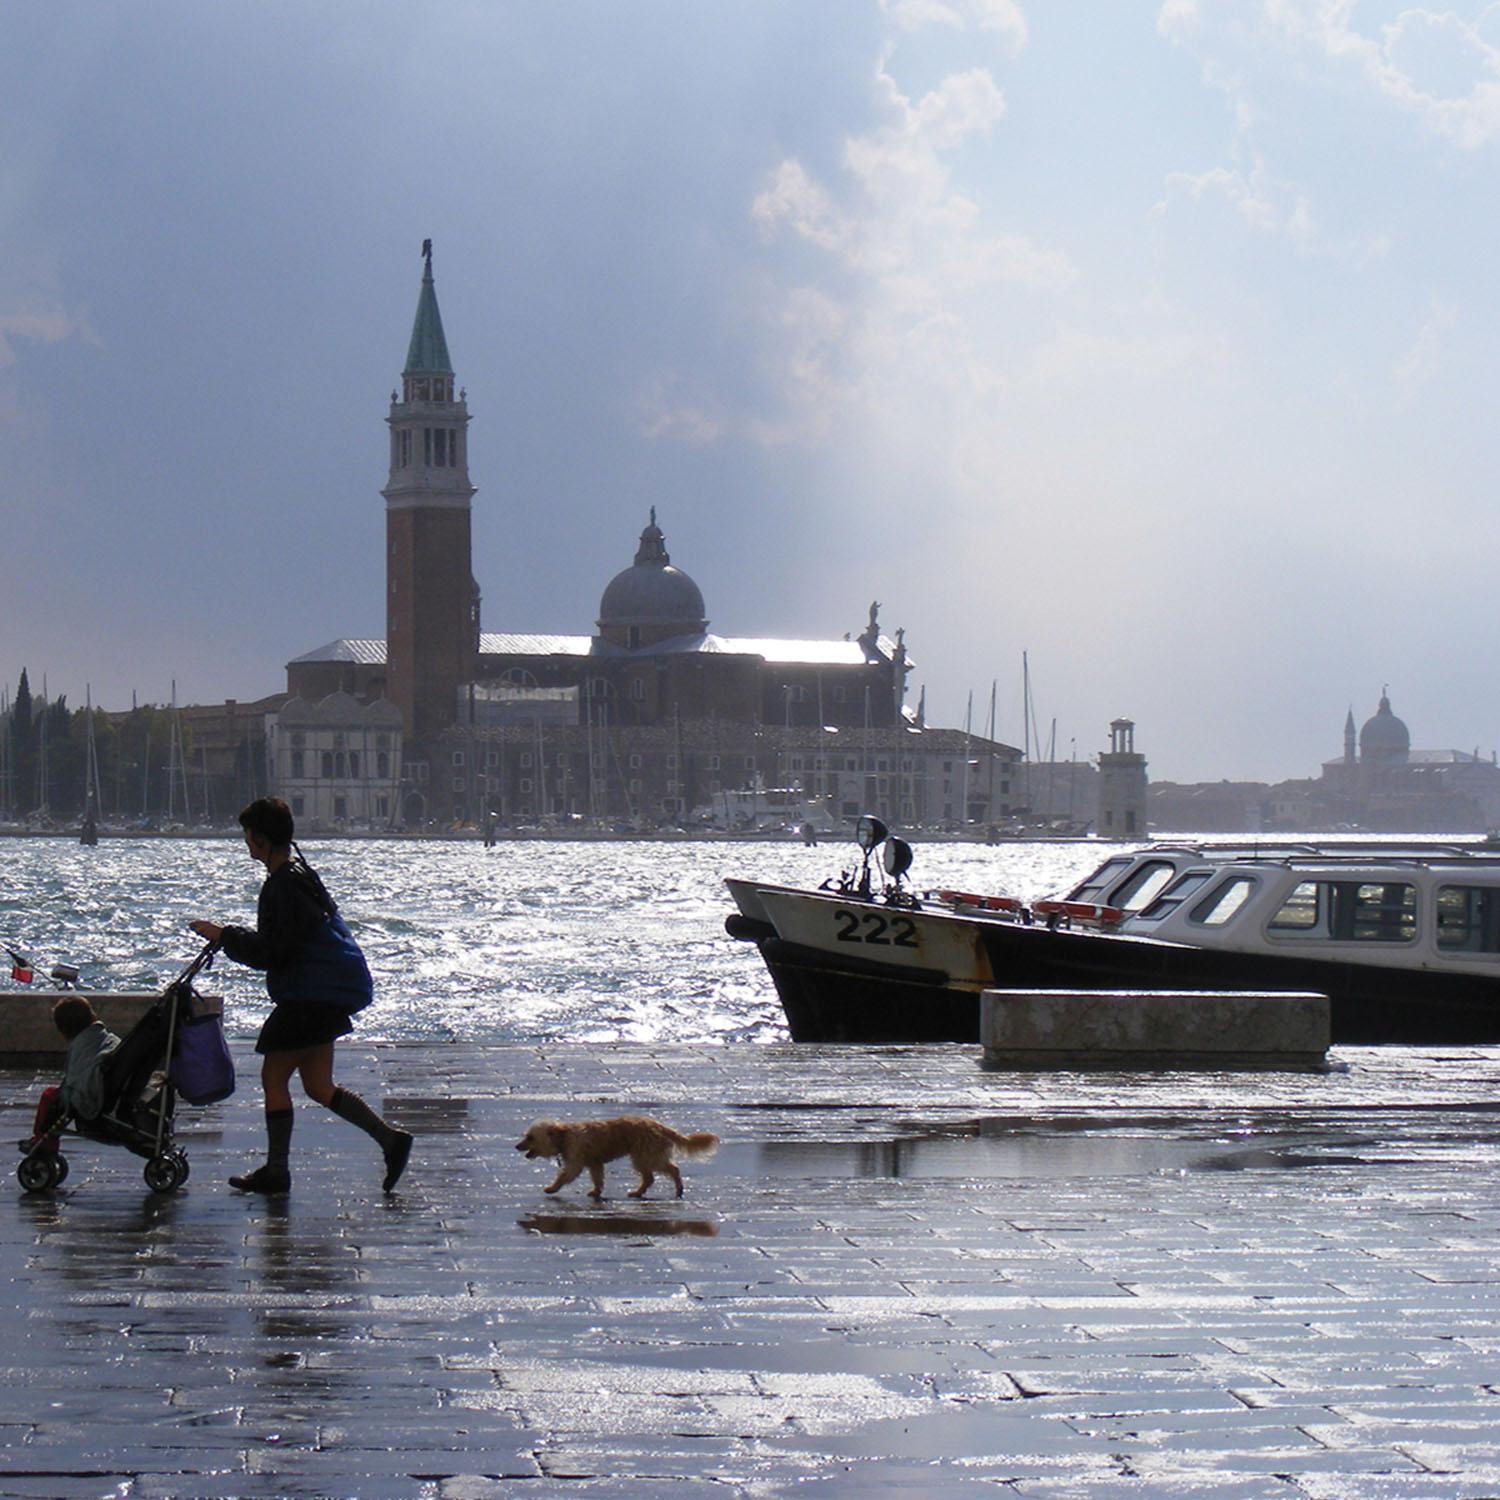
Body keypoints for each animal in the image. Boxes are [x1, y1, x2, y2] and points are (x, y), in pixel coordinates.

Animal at [516, 1116, 720, 1206]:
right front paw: (596, 1191)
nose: (517, 1146)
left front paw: (551, 1188)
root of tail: (662, 1127)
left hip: (644, 1156)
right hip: (644, 1156)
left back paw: (676, 1190)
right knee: (653, 1176)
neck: (564, 1136)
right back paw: (640, 1192)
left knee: (669, 1171)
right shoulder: (595, 1163)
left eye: (530, 1137)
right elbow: (598, 1179)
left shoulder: (575, 1164)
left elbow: (564, 1176)